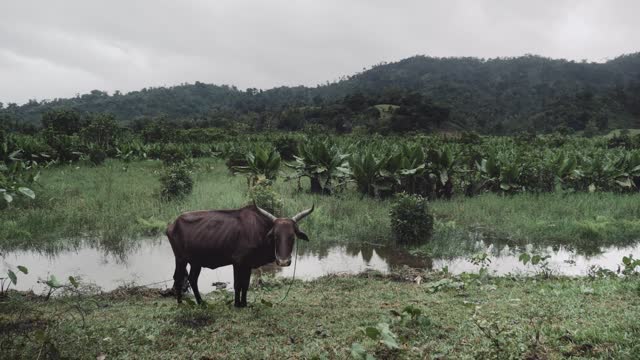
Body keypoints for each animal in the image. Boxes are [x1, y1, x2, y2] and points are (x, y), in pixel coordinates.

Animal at [166, 204, 314, 308]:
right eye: (275, 236)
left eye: (292, 237)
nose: (283, 261)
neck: (259, 231)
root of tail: (173, 224)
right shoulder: (237, 262)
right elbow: (238, 284)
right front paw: (237, 304)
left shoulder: (247, 265)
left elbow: (245, 285)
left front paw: (244, 303)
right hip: (180, 259)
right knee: (178, 278)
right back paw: (180, 303)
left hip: (196, 262)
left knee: (192, 279)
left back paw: (201, 302)